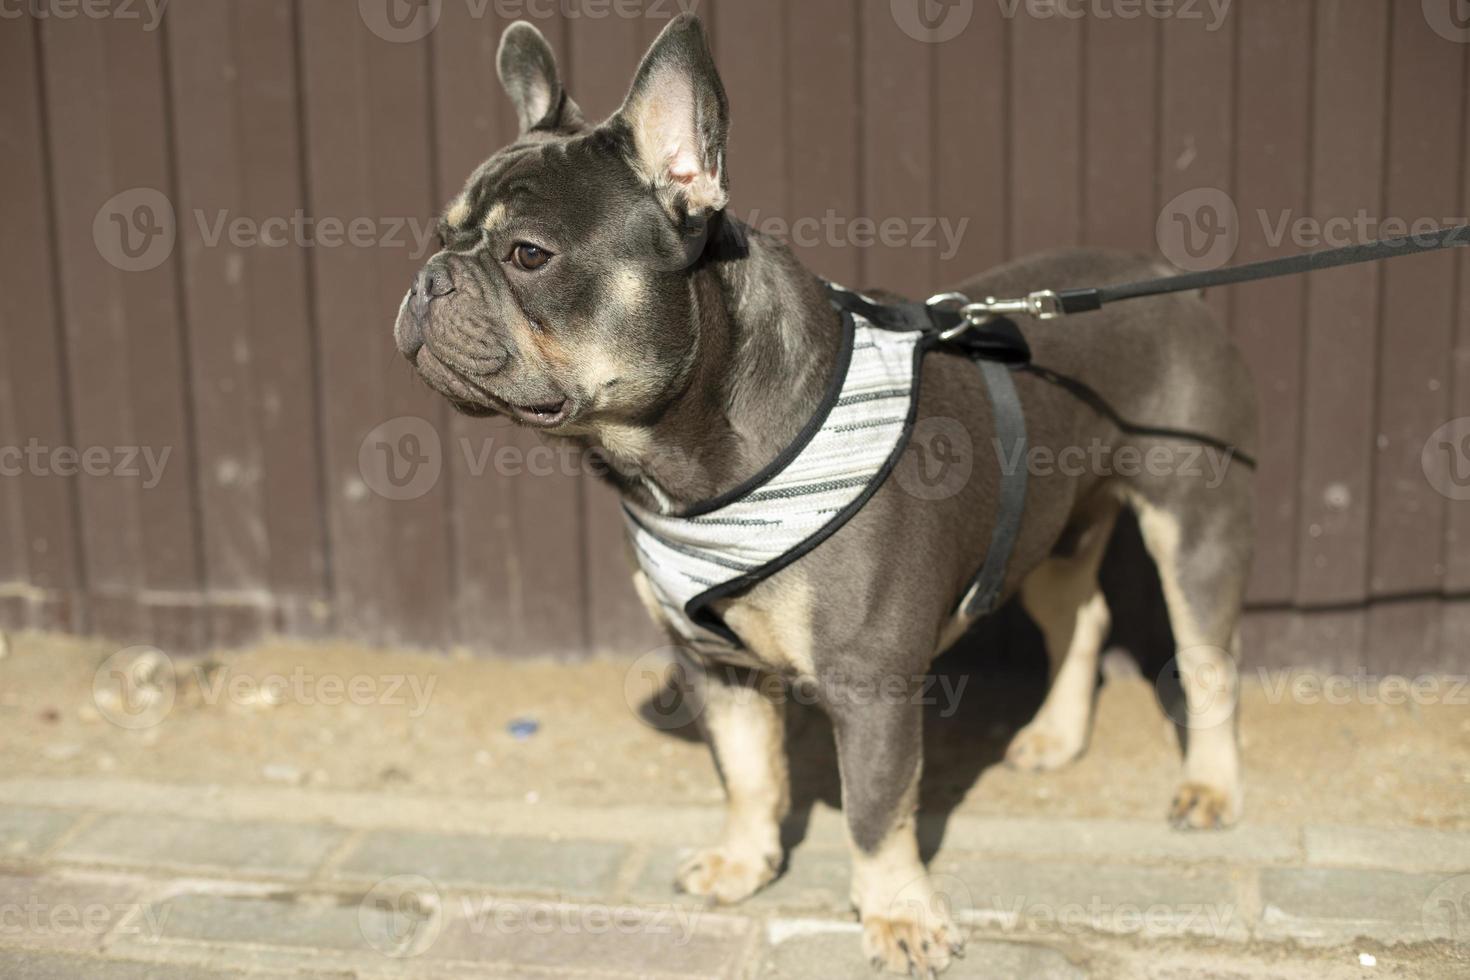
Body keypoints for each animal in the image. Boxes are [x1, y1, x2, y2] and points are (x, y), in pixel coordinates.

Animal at [396, 13, 1258, 975]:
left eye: (528, 255)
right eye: (439, 234)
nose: (430, 278)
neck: (681, 455)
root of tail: (1161, 280)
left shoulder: (869, 682)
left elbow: (877, 810)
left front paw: (898, 916)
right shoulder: (716, 666)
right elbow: (747, 774)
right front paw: (744, 863)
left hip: (1195, 528)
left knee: (1208, 661)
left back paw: (1209, 788)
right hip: (1046, 526)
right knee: (1083, 614)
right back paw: (1057, 738)